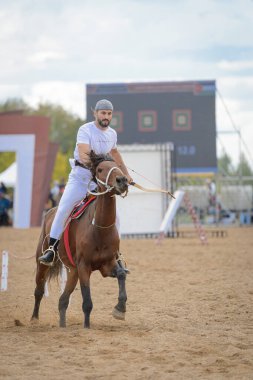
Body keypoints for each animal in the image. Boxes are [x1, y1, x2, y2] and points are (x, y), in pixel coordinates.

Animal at [32, 151, 128, 326]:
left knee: (62, 301)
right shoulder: (84, 266)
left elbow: (121, 274)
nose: (122, 181)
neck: (99, 228)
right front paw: (87, 327)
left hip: (73, 272)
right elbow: (87, 302)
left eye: (117, 165)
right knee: (39, 290)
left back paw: (62, 326)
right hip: (42, 264)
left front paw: (120, 308)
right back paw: (34, 319)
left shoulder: (107, 265)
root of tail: (50, 212)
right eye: (100, 169)